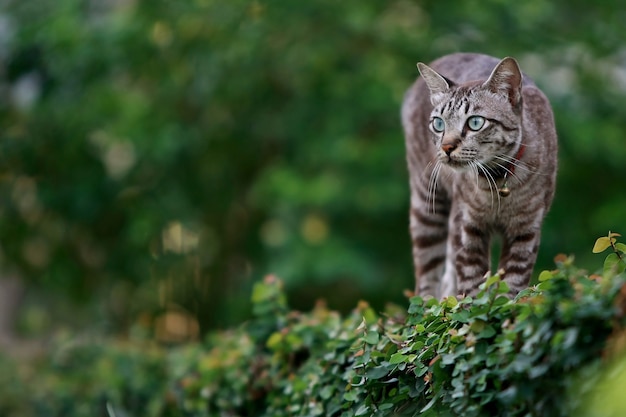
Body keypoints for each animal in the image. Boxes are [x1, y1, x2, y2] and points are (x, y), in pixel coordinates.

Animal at [402, 53, 560, 298]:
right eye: (439, 124)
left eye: (475, 122)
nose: (446, 147)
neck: (497, 180)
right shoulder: (467, 227)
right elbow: (472, 287)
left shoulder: (526, 230)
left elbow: (512, 287)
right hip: (428, 203)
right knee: (427, 277)